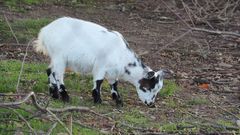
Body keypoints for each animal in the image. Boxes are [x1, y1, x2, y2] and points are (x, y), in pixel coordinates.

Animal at [33, 16, 165, 107]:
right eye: (148, 88)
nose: (151, 104)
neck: (121, 54)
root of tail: (45, 31)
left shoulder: (113, 72)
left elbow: (114, 85)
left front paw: (119, 102)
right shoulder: (100, 66)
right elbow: (98, 82)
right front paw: (98, 100)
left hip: (55, 57)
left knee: (49, 70)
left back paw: (54, 95)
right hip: (60, 56)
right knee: (58, 74)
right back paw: (65, 97)